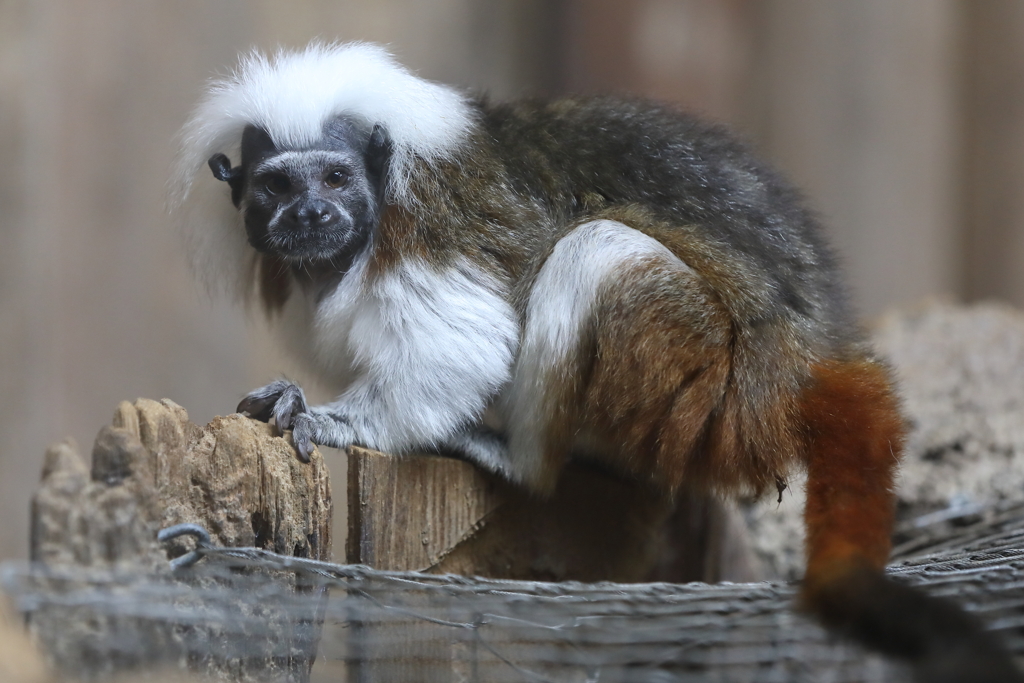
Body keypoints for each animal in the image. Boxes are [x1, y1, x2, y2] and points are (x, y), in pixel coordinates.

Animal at [172, 44, 1019, 683]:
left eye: (336, 178)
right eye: (277, 186)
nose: (311, 214)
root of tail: (802, 365)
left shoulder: (427, 225)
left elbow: (460, 344)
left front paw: (330, 417)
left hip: (708, 381)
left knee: (596, 250)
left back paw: (521, 459)